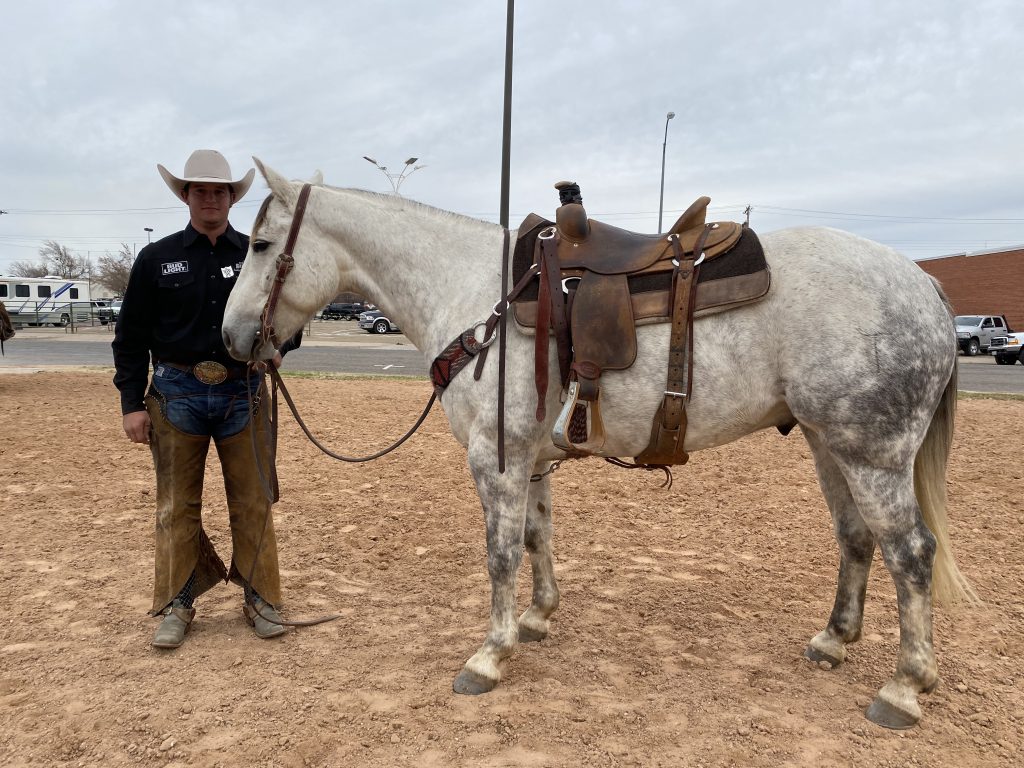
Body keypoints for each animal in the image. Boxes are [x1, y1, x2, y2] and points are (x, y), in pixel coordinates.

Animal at [222, 160, 977, 729]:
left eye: (259, 246)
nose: (231, 339)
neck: (475, 296)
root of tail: (924, 284)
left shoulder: (495, 459)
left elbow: (500, 554)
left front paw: (489, 655)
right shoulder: (530, 461)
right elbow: (536, 537)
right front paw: (537, 618)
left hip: (874, 454)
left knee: (911, 555)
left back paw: (904, 687)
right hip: (830, 445)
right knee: (857, 539)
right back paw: (833, 641)